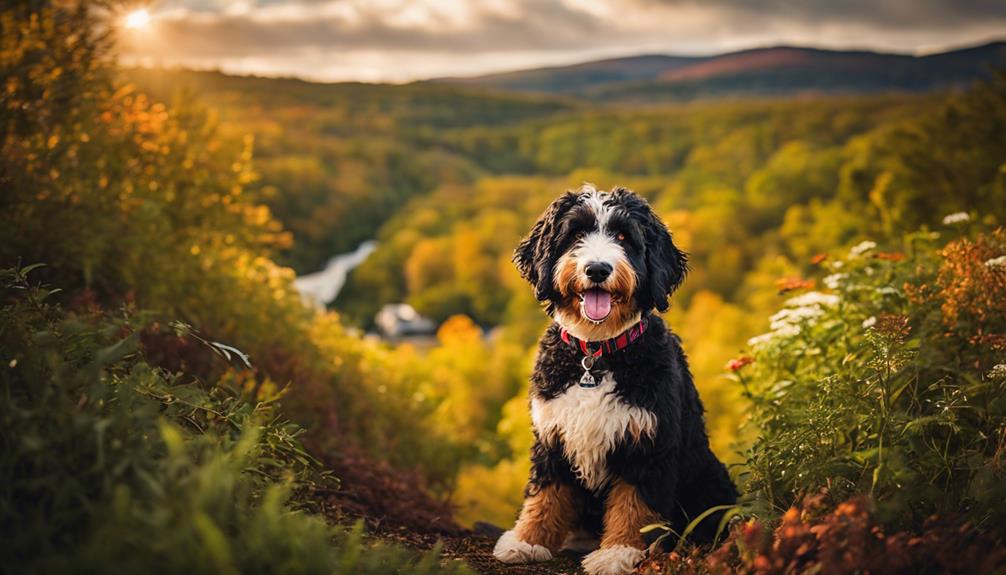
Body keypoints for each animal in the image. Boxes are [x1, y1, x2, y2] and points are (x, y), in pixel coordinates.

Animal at [494, 183, 740, 575]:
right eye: (575, 234)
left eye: (624, 237)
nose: (597, 268)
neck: (597, 353)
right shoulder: (552, 436)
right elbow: (545, 494)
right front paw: (527, 540)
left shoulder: (648, 443)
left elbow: (634, 506)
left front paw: (619, 552)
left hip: (707, 476)